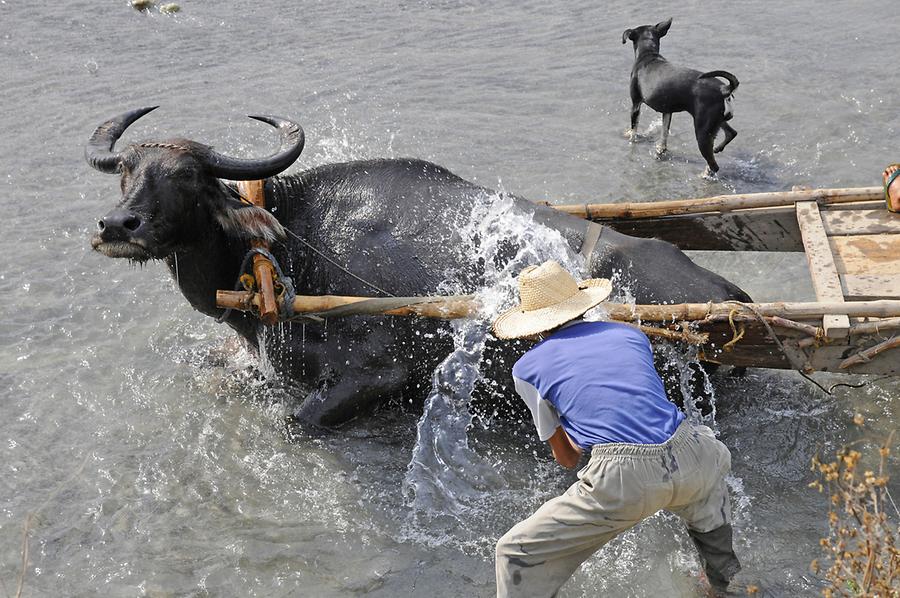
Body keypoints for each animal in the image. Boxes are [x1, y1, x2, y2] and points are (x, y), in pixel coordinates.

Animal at [86, 107, 751, 426]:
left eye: (189, 179)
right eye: (127, 171)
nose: (118, 226)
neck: (289, 251)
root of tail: (726, 292)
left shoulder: (374, 376)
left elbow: (295, 421)